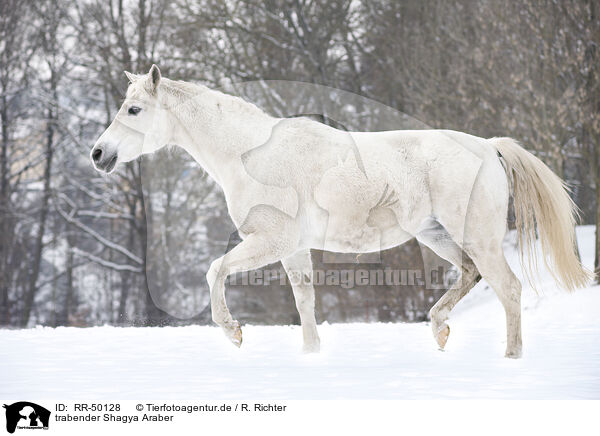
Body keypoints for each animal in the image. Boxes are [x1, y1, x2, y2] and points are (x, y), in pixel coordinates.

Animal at [91, 64, 588, 358]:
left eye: (133, 109)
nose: (98, 154)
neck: (250, 154)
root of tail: (488, 146)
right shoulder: (293, 249)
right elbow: (305, 301)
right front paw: (312, 355)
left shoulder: (271, 241)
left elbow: (216, 270)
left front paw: (233, 332)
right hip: (437, 234)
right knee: (471, 274)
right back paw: (439, 329)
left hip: (476, 235)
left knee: (508, 288)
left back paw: (510, 359)